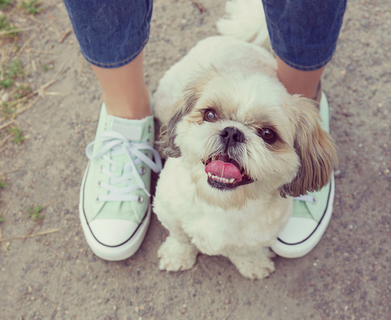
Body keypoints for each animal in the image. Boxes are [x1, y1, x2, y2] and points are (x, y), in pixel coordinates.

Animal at [152, 0, 338, 278]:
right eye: (210, 114)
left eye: (268, 134)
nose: (232, 132)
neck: (221, 205)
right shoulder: (167, 210)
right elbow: (180, 236)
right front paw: (178, 255)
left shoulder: (262, 233)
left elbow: (245, 250)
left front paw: (252, 263)